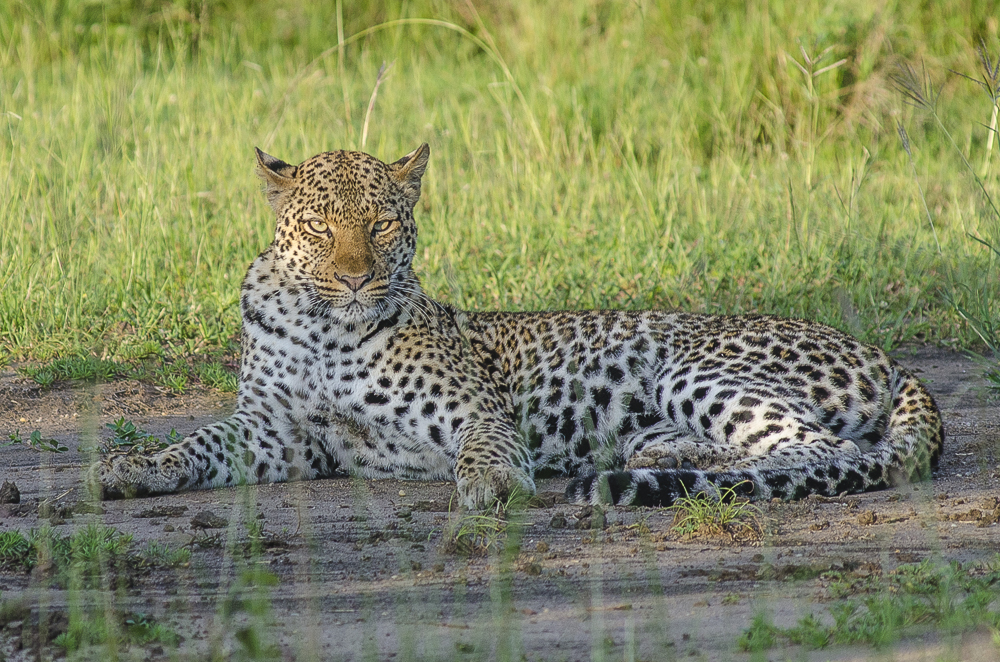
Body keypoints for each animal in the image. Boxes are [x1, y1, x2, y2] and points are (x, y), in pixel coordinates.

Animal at [92, 144, 944, 510]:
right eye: (320, 228)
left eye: (380, 224)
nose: (357, 276)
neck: (322, 327)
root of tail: (889, 357)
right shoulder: (280, 432)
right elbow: (199, 442)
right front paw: (132, 468)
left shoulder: (474, 410)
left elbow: (489, 446)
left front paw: (496, 485)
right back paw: (644, 462)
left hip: (693, 366)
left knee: (823, 451)